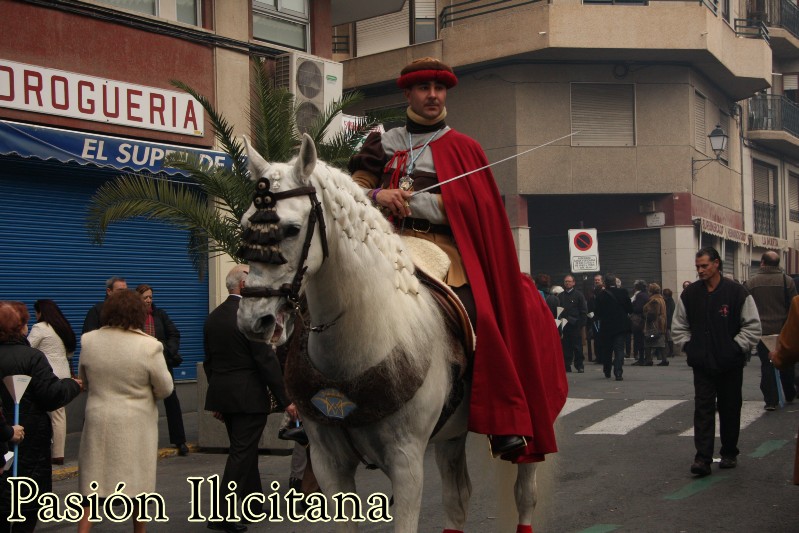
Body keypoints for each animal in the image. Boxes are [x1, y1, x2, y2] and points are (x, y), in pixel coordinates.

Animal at [238, 135, 536, 528]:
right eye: (245, 226)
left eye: (290, 229)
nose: (253, 319)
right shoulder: (329, 463)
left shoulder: (406, 464)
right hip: (451, 436)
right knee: (458, 498)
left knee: (525, 495)